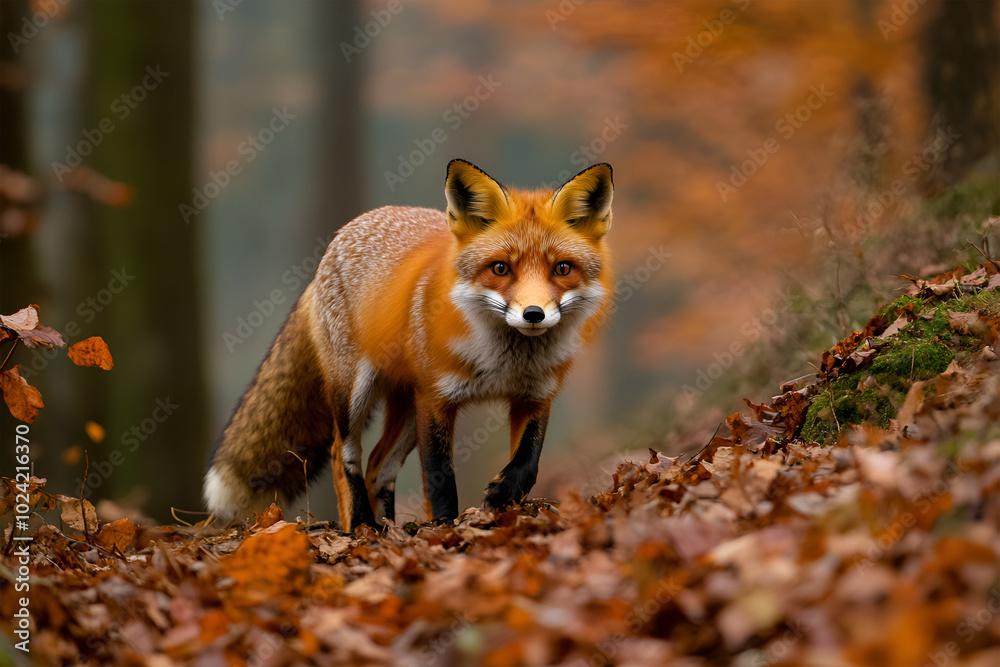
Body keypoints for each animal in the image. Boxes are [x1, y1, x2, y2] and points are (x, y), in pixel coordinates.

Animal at [204, 158, 614, 531]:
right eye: (500, 269)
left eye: (562, 269)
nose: (533, 314)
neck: (504, 363)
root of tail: (343, 234)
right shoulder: (436, 398)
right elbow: (440, 476)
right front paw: (446, 527)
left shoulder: (535, 397)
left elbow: (529, 462)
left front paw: (503, 500)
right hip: (355, 394)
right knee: (344, 454)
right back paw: (362, 525)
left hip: (405, 408)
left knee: (377, 466)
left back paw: (389, 528)